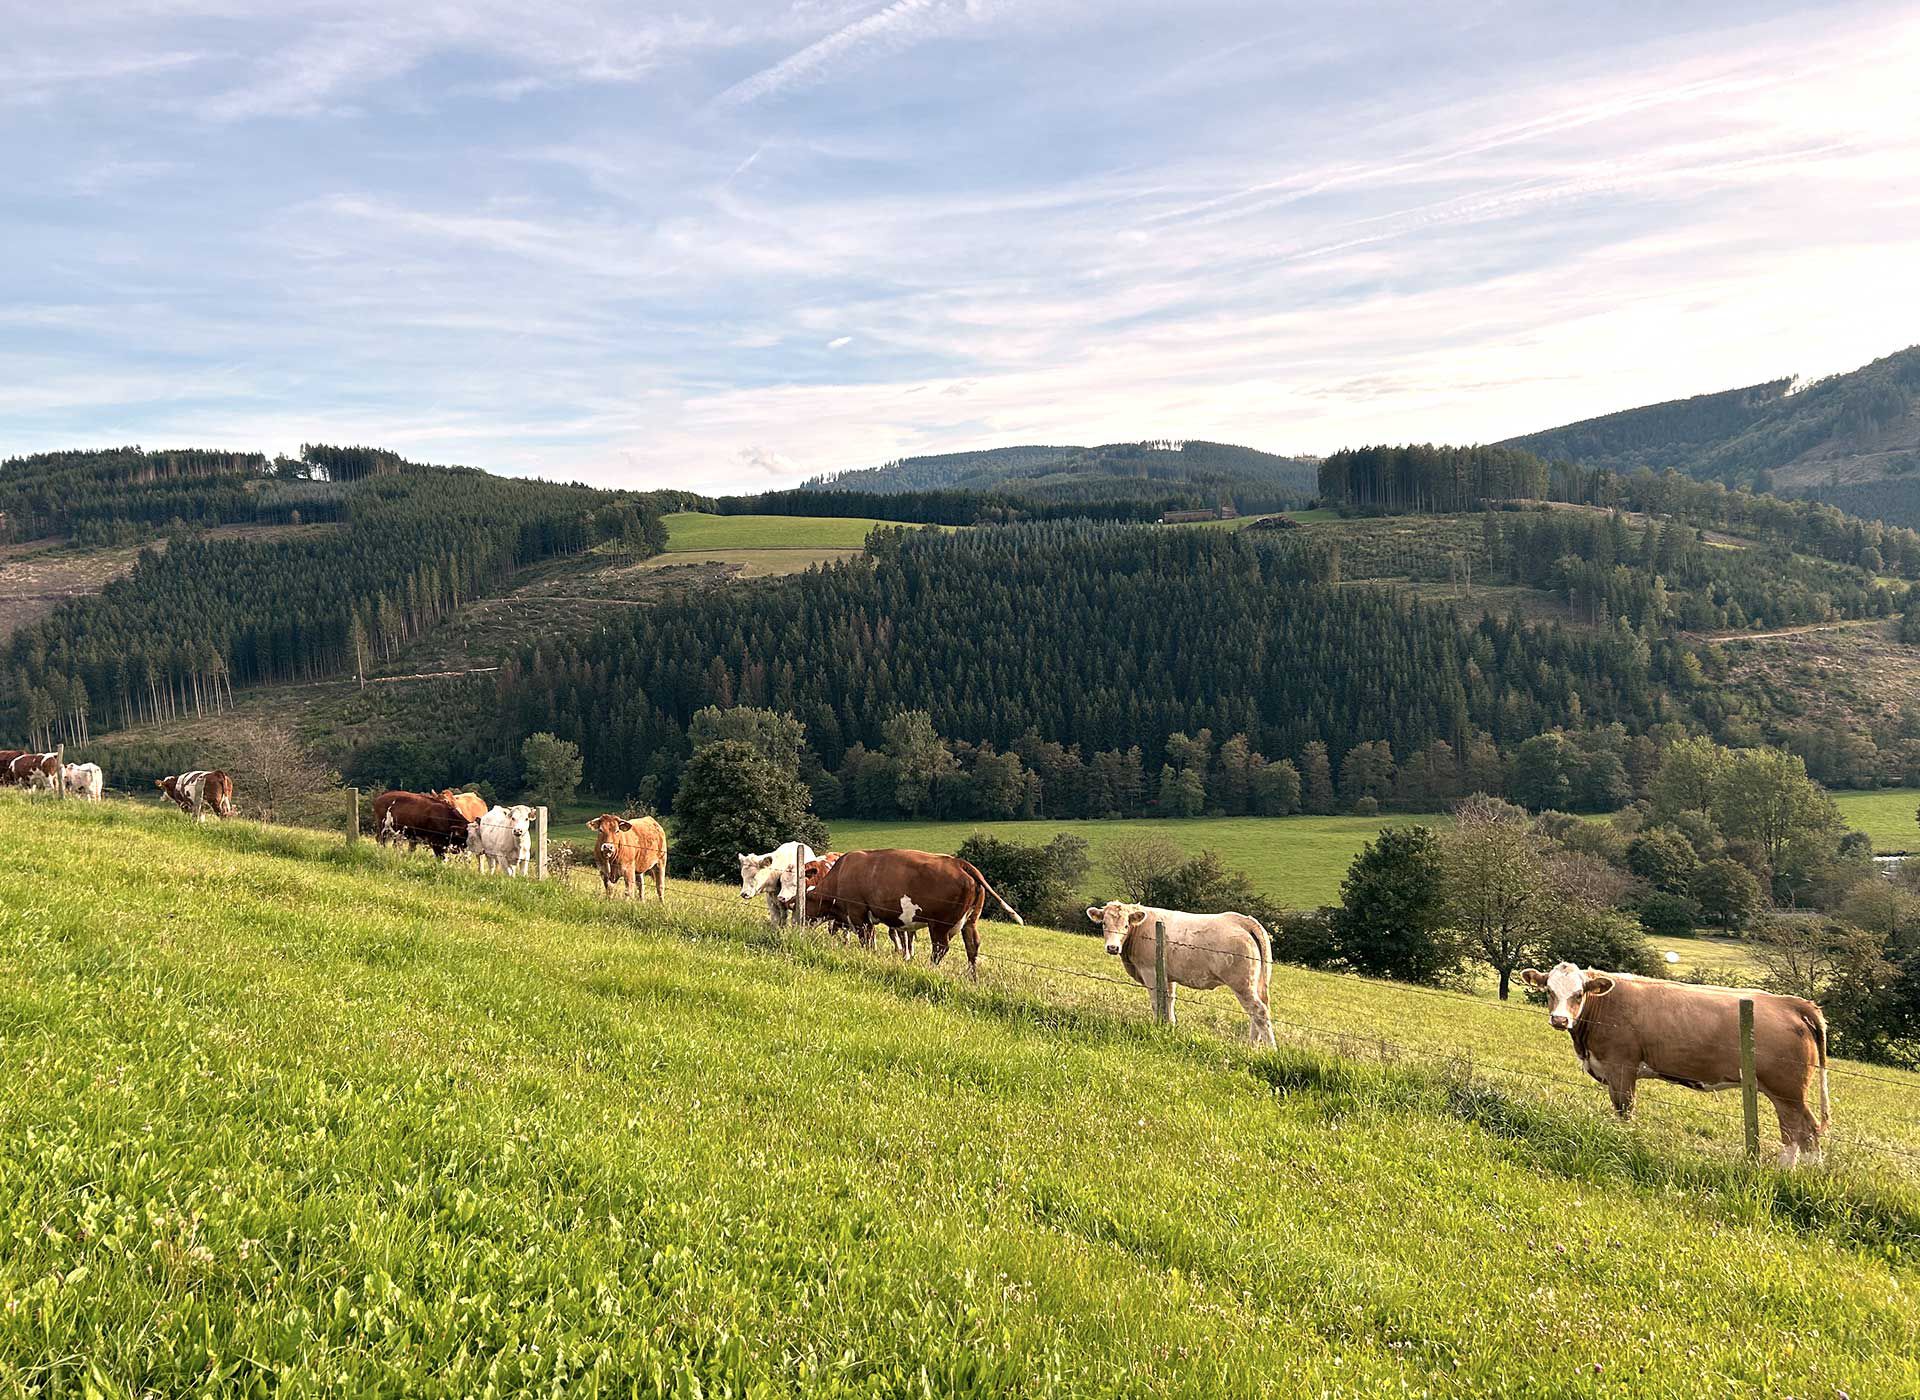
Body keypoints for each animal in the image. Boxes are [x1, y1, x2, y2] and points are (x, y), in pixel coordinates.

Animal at [810, 844, 1021, 979]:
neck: (840, 874)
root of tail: (960, 863)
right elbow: (873, 938)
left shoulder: (858, 914)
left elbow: (867, 939)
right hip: (971, 920)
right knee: (972, 946)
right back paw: (972, 978)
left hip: (939, 924)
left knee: (940, 948)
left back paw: (930, 970)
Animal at [1082, 902, 1274, 1044]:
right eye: (1104, 923)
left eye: (1126, 925)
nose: (1112, 947)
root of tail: (1241, 919)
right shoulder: (1168, 976)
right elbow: (1169, 1000)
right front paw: (1169, 1026)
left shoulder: (1150, 971)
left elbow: (1156, 1002)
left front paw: (1157, 1025)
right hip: (1254, 983)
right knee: (1257, 1012)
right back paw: (1251, 1047)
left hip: (1241, 983)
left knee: (1259, 1011)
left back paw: (1269, 1049)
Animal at [1512, 960, 1827, 1167]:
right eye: (1549, 991)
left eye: (1579, 994)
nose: (1559, 1019)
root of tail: (1791, 1003)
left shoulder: (1621, 1068)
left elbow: (1625, 1110)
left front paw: (1624, 1141)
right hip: (1784, 1092)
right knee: (1799, 1132)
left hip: (1787, 1090)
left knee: (1802, 1131)